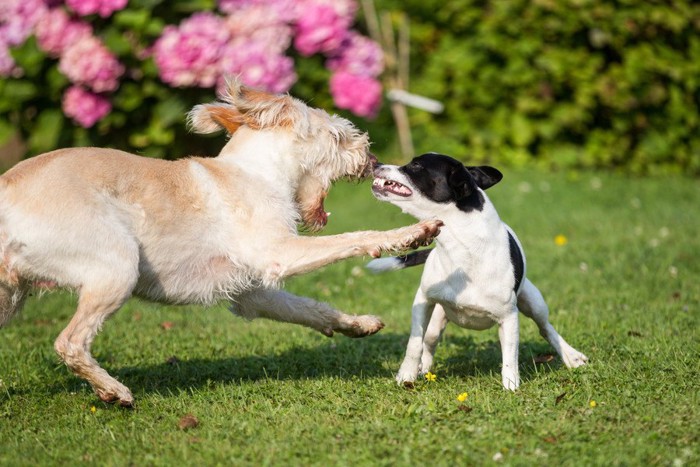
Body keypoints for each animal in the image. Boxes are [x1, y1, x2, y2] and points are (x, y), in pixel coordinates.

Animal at [0, 80, 438, 406]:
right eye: (339, 135)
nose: (372, 158)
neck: (256, 172)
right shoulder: (278, 253)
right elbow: (355, 237)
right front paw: (410, 233)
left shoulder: (252, 292)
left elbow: (311, 308)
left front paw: (358, 324)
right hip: (116, 266)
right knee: (69, 342)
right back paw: (114, 390)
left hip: (11, 295)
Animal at [370, 154, 588, 392]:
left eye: (416, 165)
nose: (376, 163)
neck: (460, 249)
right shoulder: (423, 301)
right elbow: (414, 343)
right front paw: (406, 375)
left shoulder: (509, 317)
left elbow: (510, 356)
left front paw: (511, 386)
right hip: (437, 318)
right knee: (430, 341)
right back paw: (423, 369)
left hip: (534, 302)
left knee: (546, 328)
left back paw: (571, 356)